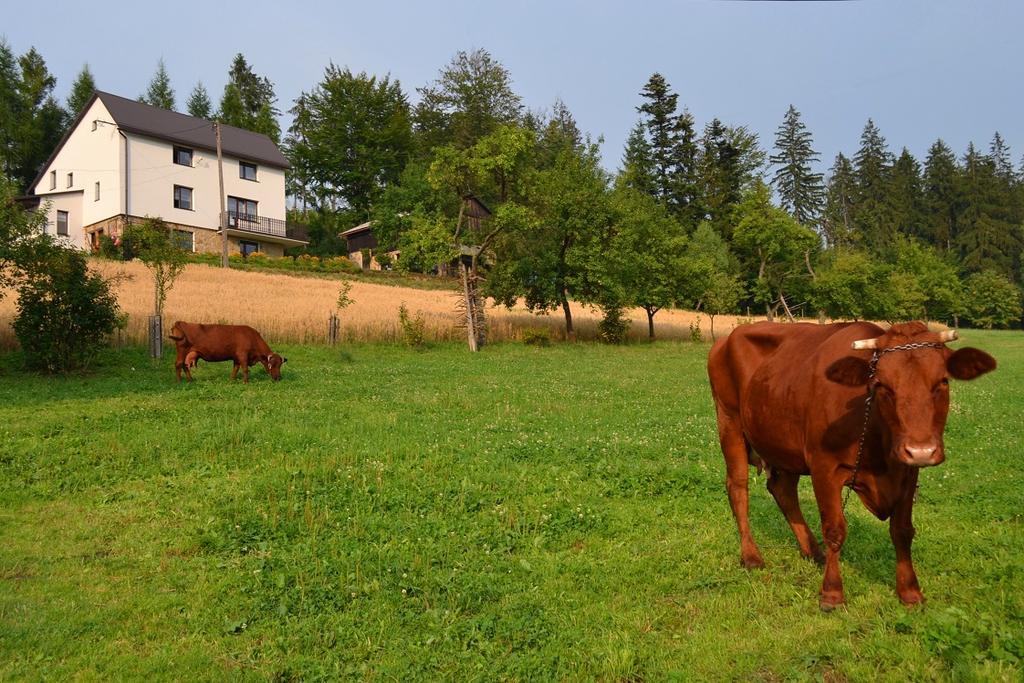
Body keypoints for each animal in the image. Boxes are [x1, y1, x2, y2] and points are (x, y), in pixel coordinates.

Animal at [708, 321, 995, 610]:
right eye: (882, 385)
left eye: (943, 382)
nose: (921, 450)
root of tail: (726, 339)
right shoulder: (824, 466)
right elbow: (835, 529)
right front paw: (832, 592)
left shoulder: (907, 470)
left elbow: (902, 531)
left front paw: (910, 591)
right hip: (729, 421)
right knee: (738, 487)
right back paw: (751, 555)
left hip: (781, 441)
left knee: (783, 490)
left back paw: (813, 551)